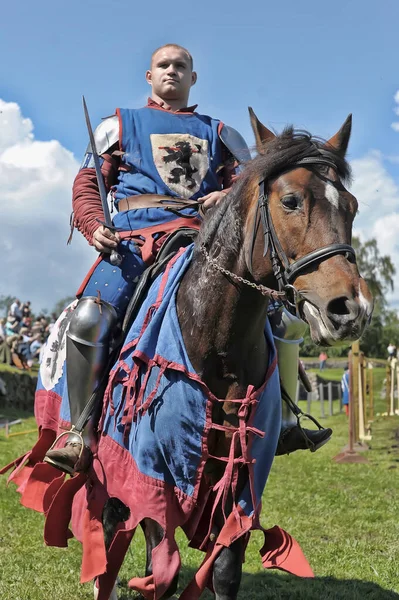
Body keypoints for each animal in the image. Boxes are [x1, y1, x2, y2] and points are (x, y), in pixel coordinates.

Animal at [98, 109, 374, 600]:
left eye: (352, 206)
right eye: (290, 201)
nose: (350, 309)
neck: (217, 341)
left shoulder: (244, 473)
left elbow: (224, 568)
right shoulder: (154, 469)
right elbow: (161, 565)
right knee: (113, 523)